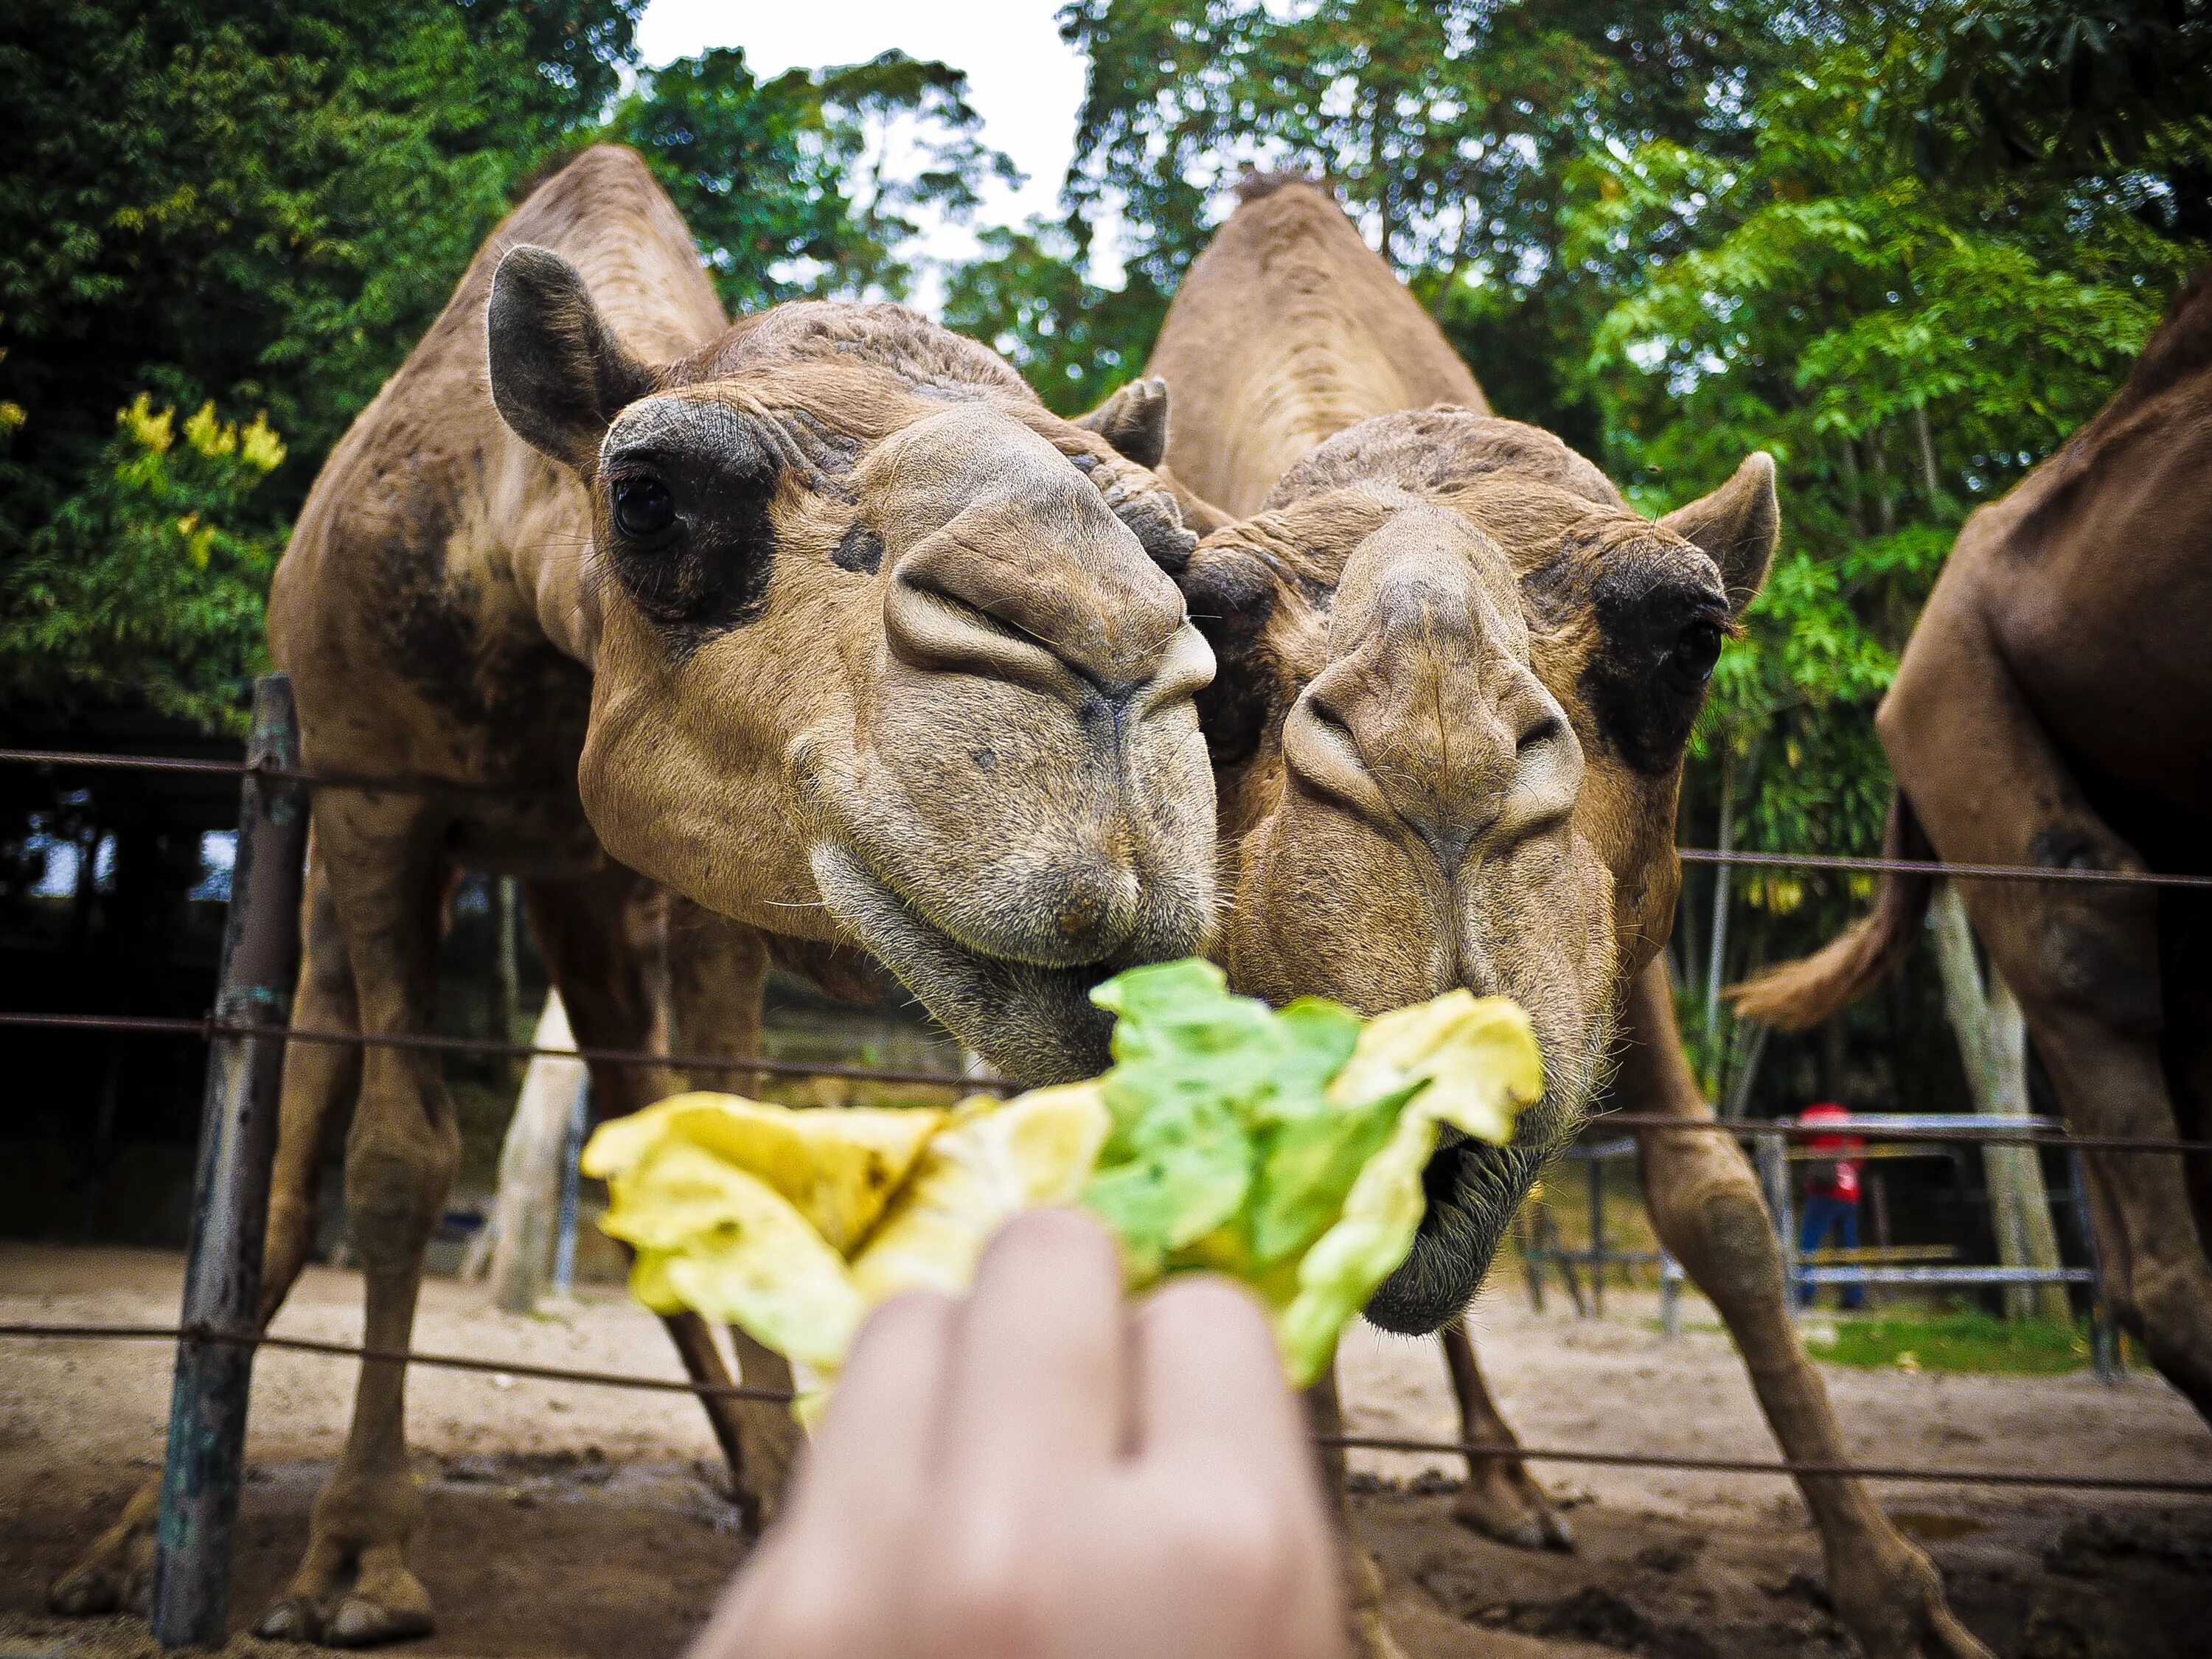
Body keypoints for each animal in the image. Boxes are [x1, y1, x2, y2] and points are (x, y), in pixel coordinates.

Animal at [47, 146, 1230, 1655]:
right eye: (653, 493)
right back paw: (129, 1548)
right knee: (295, 1151)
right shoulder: (382, 802)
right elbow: (397, 1164)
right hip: (328, 861)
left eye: (1169, 548)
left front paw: (791, 1507)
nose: (1110, 668)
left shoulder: (706, 866)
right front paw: (356, 1563)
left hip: (586, 904)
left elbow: (734, 1153)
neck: (507, 539)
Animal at [1124, 173, 1991, 1659]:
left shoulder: (1635, 940)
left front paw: (1899, 1595)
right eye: (1212, 636)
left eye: (1689, 639)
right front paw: (1338, 1604)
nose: (1438, 758)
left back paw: (1514, 1486)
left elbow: (1719, 1208)